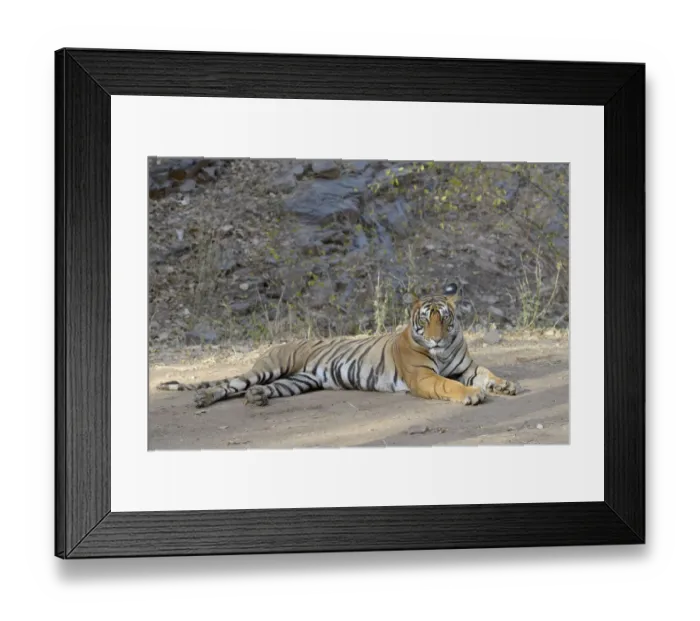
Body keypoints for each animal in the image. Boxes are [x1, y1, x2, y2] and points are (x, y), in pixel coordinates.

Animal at [156, 284, 519, 409]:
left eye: (444, 319)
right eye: (425, 320)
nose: (437, 338)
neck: (441, 351)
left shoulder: (467, 367)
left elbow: (488, 372)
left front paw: (506, 385)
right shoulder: (424, 377)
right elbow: (448, 385)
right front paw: (472, 395)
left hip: (297, 381)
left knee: (258, 389)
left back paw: (257, 398)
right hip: (270, 368)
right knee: (230, 384)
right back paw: (205, 398)